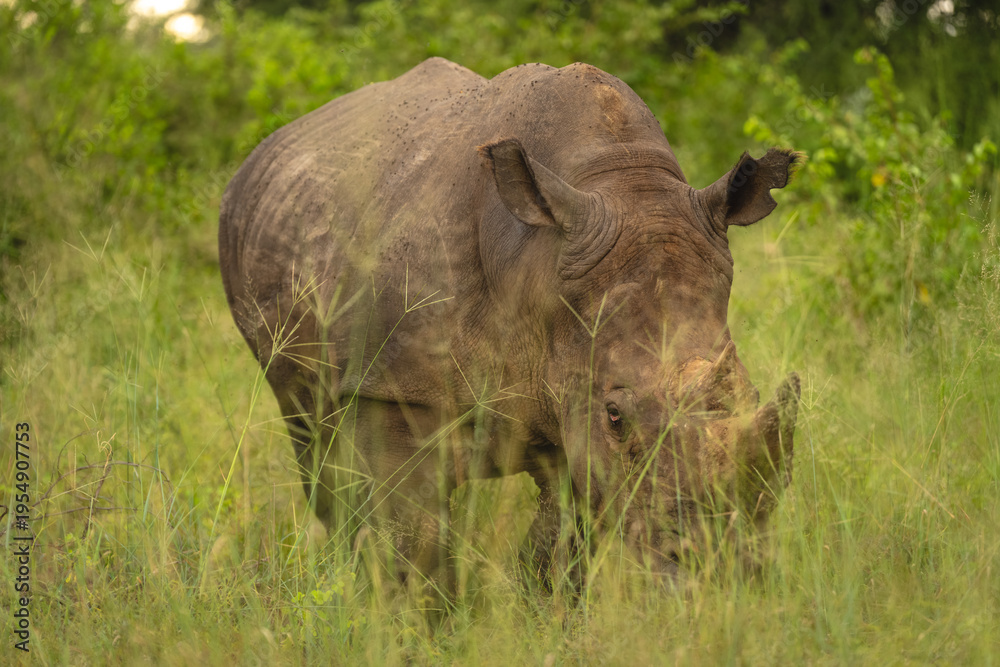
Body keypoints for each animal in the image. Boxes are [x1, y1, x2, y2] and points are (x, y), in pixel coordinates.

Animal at [219, 57, 801, 582]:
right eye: (616, 416)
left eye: (751, 397)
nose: (722, 569)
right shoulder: (392, 387)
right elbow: (414, 544)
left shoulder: (568, 408)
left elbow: (558, 549)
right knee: (312, 440)